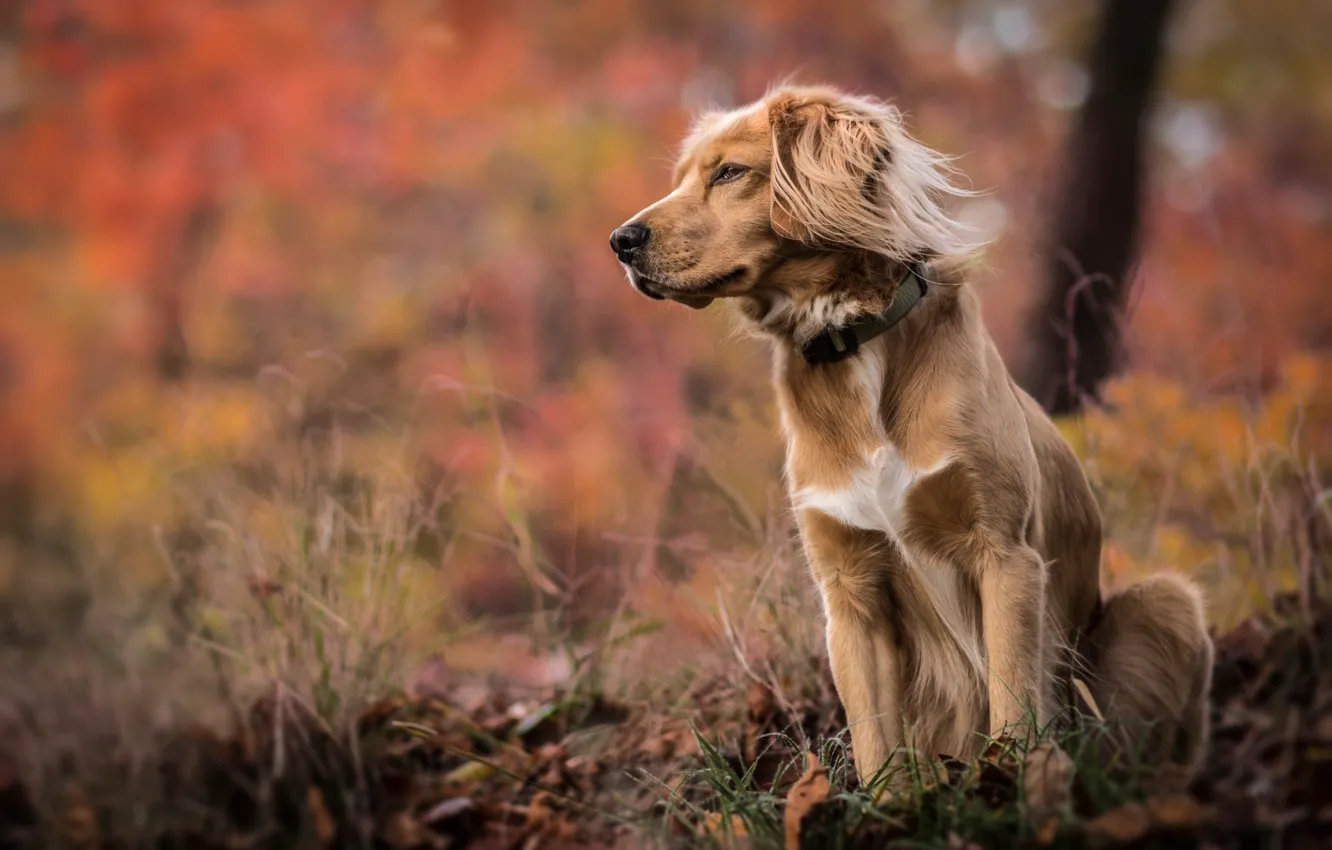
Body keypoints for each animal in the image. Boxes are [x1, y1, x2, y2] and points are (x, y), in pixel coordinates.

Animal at [610, 86, 1214, 788]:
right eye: (679, 178)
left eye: (730, 173)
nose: (621, 241)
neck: (851, 341)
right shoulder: (849, 589)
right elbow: (877, 741)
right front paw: (892, 803)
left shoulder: (1005, 556)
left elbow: (1013, 704)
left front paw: (1012, 785)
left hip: (1165, 602)